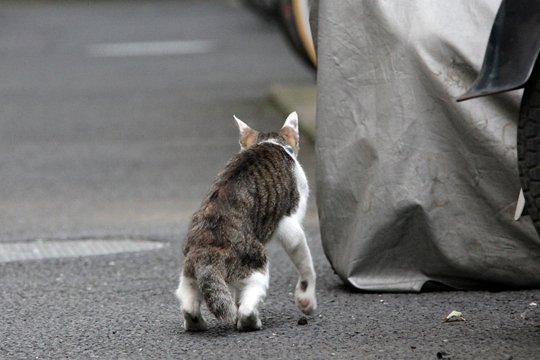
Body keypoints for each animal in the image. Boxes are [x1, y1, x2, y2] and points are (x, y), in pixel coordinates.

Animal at [175, 112, 316, 332]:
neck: (271, 142)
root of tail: (207, 251)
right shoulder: (291, 227)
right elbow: (306, 265)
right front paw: (306, 300)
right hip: (256, 263)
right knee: (248, 307)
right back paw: (251, 322)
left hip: (189, 274)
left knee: (189, 303)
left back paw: (197, 323)